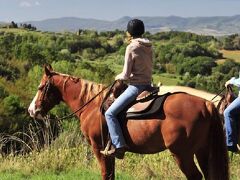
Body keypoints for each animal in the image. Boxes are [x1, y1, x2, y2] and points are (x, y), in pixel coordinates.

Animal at [28, 65, 229, 180]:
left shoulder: (98, 148)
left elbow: (106, 174)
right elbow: (111, 174)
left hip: (182, 153)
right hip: (202, 150)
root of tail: (206, 105)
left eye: (40, 87)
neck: (92, 105)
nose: (32, 110)